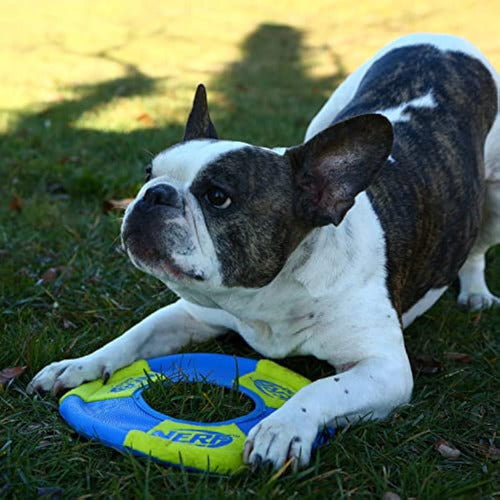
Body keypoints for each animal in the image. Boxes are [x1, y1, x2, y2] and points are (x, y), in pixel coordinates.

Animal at [29, 33, 498, 470]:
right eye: (148, 172)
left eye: (218, 197)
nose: (153, 195)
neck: (268, 296)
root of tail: (445, 41)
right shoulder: (192, 314)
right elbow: (133, 336)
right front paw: (79, 365)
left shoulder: (384, 369)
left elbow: (323, 388)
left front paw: (283, 427)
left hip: (492, 196)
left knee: (477, 249)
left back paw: (476, 293)